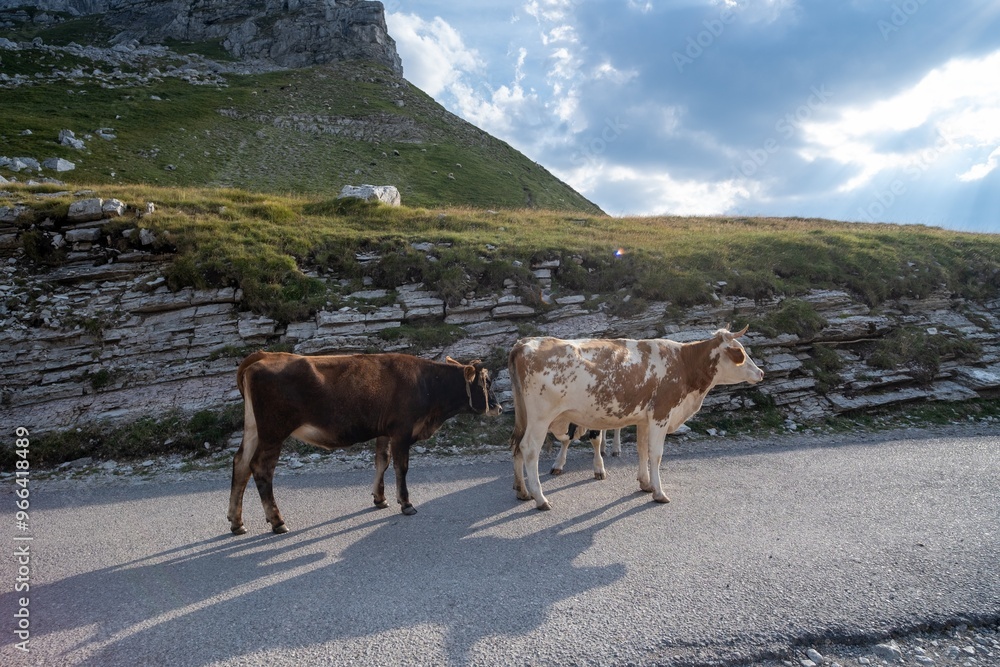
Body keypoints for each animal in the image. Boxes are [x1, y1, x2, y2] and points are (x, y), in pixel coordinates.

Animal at [228, 351, 502, 534]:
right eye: (486, 383)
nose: (498, 408)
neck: (428, 385)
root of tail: (265, 355)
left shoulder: (384, 431)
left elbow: (382, 461)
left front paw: (380, 499)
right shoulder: (402, 430)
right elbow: (401, 467)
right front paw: (406, 503)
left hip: (254, 429)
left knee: (240, 463)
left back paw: (236, 521)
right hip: (273, 432)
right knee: (260, 469)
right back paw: (277, 521)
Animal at [508, 326, 763, 510]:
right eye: (741, 352)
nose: (761, 372)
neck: (683, 362)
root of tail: (525, 343)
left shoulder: (644, 419)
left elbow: (642, 450)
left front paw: (645, 484)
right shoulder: (661, 414)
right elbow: (656, 454)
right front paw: (659, 493)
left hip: (523, 416)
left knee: (517, 446)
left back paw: (523, 491)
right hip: (540, 418)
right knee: (529, 449)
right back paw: (540, 498)